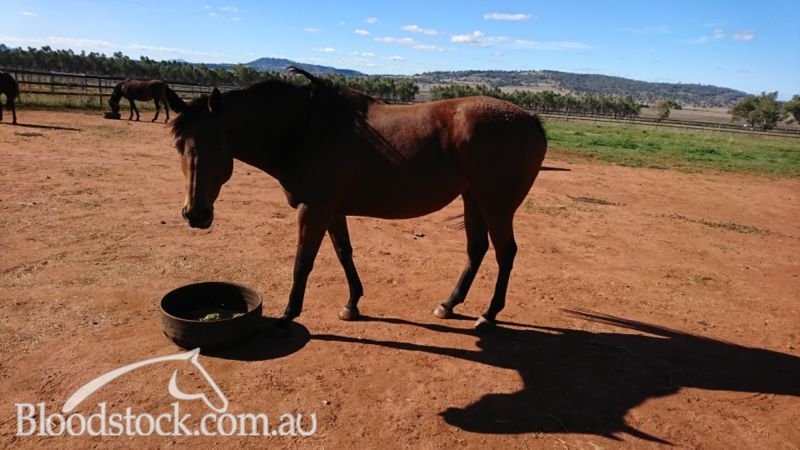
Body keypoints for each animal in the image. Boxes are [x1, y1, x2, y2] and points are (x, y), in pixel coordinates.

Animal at [164, 67, 548, 332]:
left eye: (216, 144)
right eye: (179, 146)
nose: (195, 214)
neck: (304, 129)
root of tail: (531, 119)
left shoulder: (313, 209)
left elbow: (303, 262)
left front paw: (287, 316)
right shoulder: (332, 210)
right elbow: (344, 253)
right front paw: (352, 304)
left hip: (497, 205)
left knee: (505, 253)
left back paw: (489, 315)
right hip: (473, 199)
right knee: (477, 250)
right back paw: (449, 304)